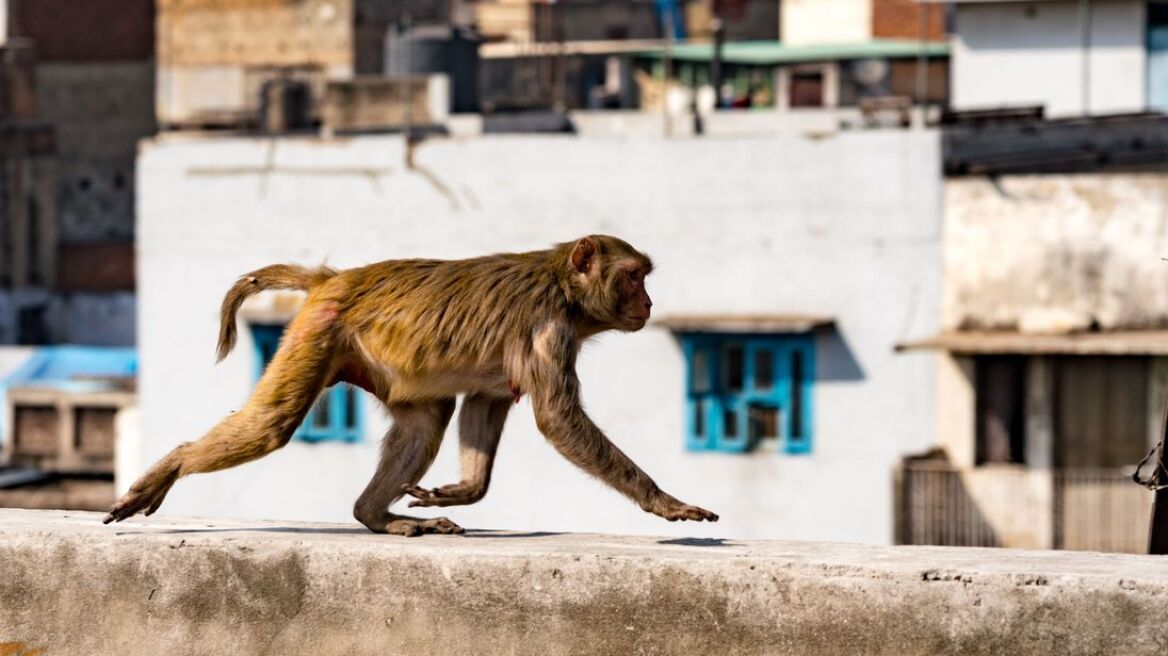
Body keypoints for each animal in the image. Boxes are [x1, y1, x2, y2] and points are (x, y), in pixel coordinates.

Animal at [105, 236, 714, 534]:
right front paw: (663, 501)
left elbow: (487, 402)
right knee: (271, 425)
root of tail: (334, 278)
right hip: (320, 330)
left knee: (427, 417)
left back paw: (374, 516)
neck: (563, 288)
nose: (648, 303)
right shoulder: (548, 328)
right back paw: (173, 465)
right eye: (633, 277)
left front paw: (464, 490)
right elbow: (556, 418)